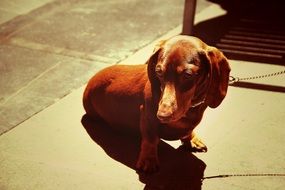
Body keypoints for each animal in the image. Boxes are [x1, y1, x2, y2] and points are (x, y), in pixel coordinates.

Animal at [81, 35, 229, 173]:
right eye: (159, 72)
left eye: (188, 74)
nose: (162, 116)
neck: (190, 108)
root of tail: (89, 83)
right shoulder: (147, 116)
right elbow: (150, 138)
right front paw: (148, 160)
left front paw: (192, 139)